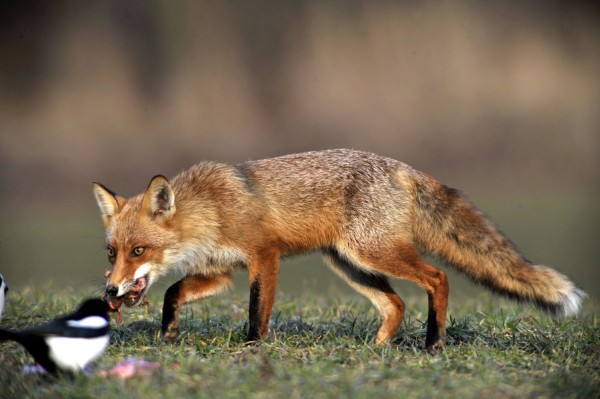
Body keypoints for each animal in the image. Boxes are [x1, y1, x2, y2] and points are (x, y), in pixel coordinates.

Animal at [94, 148, 584, 352]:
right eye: (112, 253)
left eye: (139, 250)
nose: (111, 292)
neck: (210, 210)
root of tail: (402, 166)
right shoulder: (222, 271)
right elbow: (173, 293)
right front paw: (168, 335)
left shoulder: (264, 256)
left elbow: (256, 312)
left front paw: (252, 348)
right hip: (350, 263)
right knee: (395, 304)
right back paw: (379, 349)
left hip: (373, 253)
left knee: (437, 278)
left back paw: (433, 342)